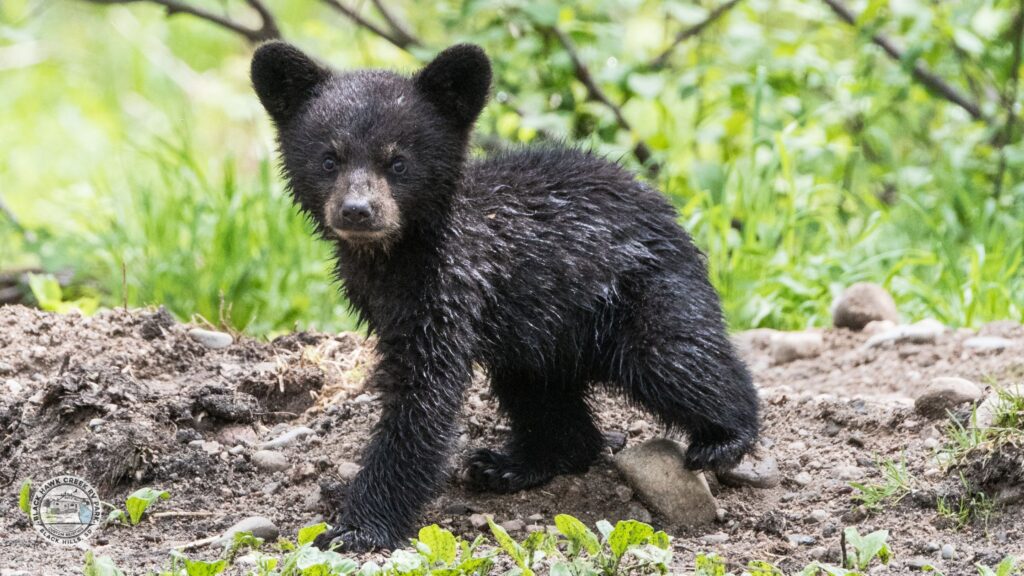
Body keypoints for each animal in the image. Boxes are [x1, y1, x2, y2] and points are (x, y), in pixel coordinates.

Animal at [250, 41, 760, 551]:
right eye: (329, 159)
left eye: (397, 161)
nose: (357, 211)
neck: (395, 257)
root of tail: (665, 208)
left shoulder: (450, 290)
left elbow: (423, 400)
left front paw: (358, 527)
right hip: (540, 331)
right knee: (539, 392)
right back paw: (512, 464)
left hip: (639, 288)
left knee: (675, 355)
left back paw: (726, 435)